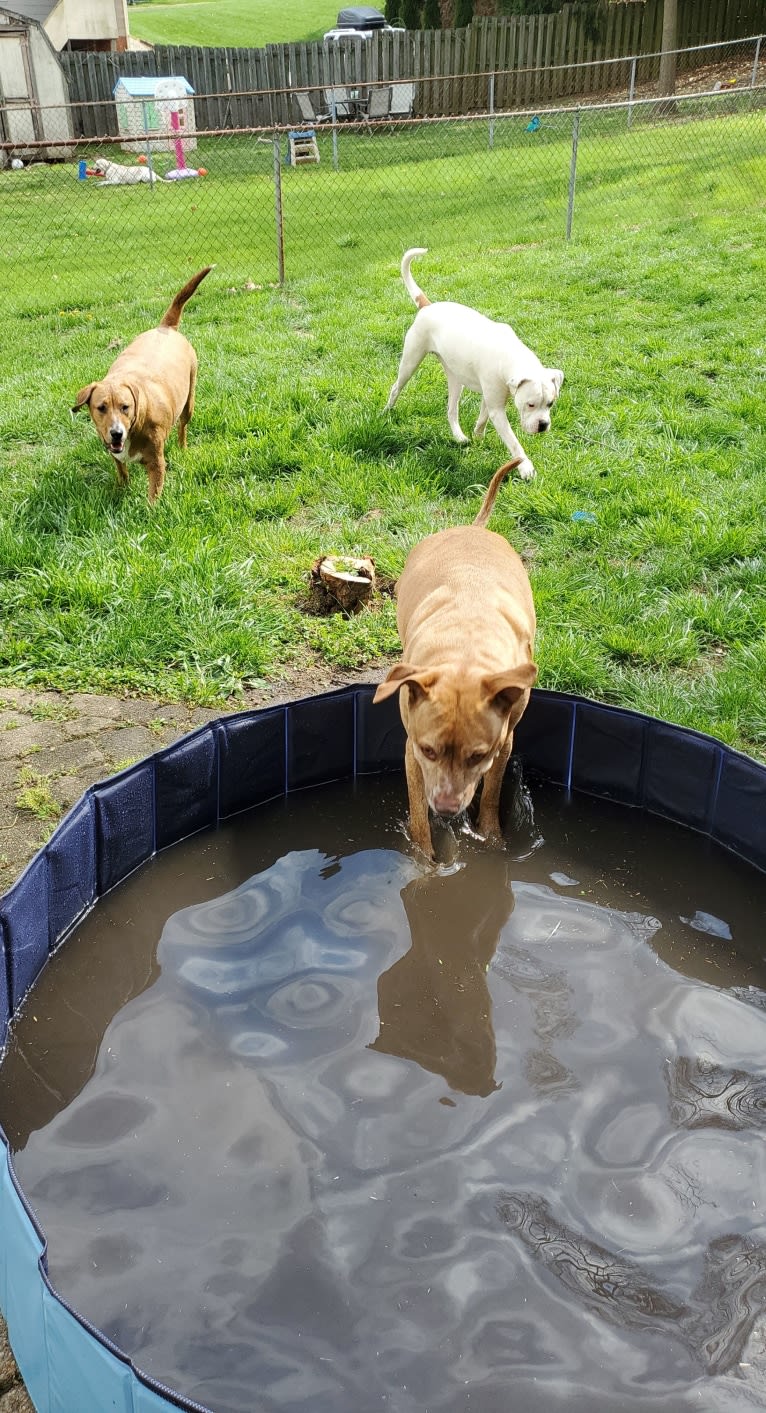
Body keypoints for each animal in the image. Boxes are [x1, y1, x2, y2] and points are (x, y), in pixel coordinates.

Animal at [72, 267, 213, 505]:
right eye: (101, 408)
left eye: (125, 407)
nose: (116, 433)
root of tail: (165, 327)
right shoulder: (115, 453)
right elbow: (121, 470)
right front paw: (122, 488)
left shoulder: (156, 462)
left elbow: (153, 494)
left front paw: (150, 510)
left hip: (189, 402)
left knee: (183, 426)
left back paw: (182, 447)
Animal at [375, 460, 537, 859]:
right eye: (429, 750)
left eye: (477, 756)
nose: (448, 810)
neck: (466, 647)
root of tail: (473, 528)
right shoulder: (411, 751)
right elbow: (419, 814)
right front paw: (424, 858)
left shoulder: (504, 743)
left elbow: (492, 791)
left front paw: (491, 839)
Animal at [384, 248, 565, 480]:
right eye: (530, 404)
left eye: (550, 403)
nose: (543, 425)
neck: (510, 356)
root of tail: (427, 306)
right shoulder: (498, 409)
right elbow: (514, 443)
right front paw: (526, 467)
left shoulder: (491, 400)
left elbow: (482, 419)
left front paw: (478, 437)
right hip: (410, 362)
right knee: (396, 387)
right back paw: (387, 411)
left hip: (455, 378)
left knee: (451, 410)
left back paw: (460, 437)